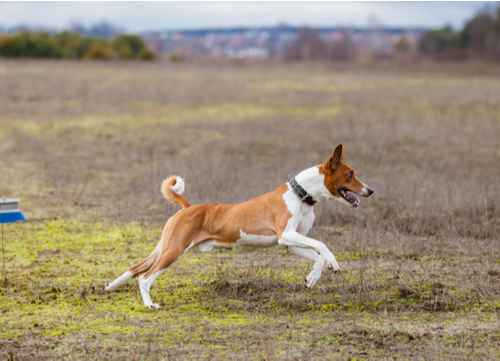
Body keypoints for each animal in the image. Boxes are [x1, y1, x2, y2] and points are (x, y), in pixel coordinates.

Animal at [104, 143, 372, 306]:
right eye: (350, 174)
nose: (370, 190)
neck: (300, 195)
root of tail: (188, 206)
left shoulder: (289, 243)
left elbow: (316, 256)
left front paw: (312, 278)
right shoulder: (286, 234)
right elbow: (323, 246)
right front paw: (333, 262)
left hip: (165, 247)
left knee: (135, 268)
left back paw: (109, 287)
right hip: (173, 251)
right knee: (145, 277)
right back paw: (149, 305)